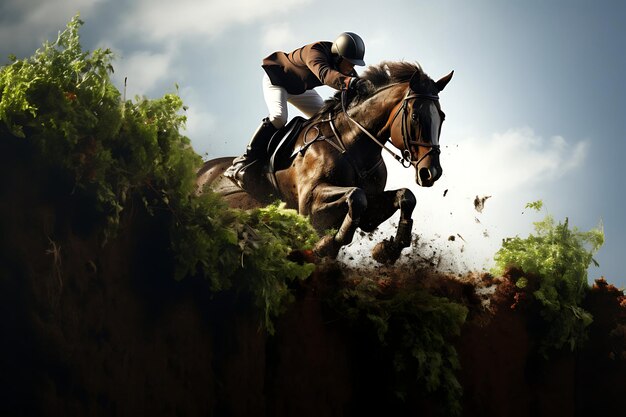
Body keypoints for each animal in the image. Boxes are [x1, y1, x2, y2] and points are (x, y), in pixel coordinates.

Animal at [197, 61, 450, 264]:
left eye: (442, 116)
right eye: (415, 116)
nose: (431, 172)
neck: (353, 143)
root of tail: (202, 171)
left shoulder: (372, 209)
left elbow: (406, 196)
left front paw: (389, 250)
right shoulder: (310, 204)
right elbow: (356, 196)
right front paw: (327, 246)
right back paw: (239, 168)